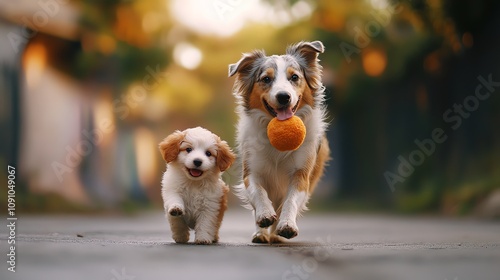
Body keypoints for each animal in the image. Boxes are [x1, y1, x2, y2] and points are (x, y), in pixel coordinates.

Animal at [229, 40, 330, 243]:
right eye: (266, 79)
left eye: (294, 77)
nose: (284, 96)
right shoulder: (251, 170)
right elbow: (258, 192)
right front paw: (264, 216)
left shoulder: (302, 174)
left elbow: (290, 201)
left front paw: (287, 225)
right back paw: (261, 233)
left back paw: (276, 235)